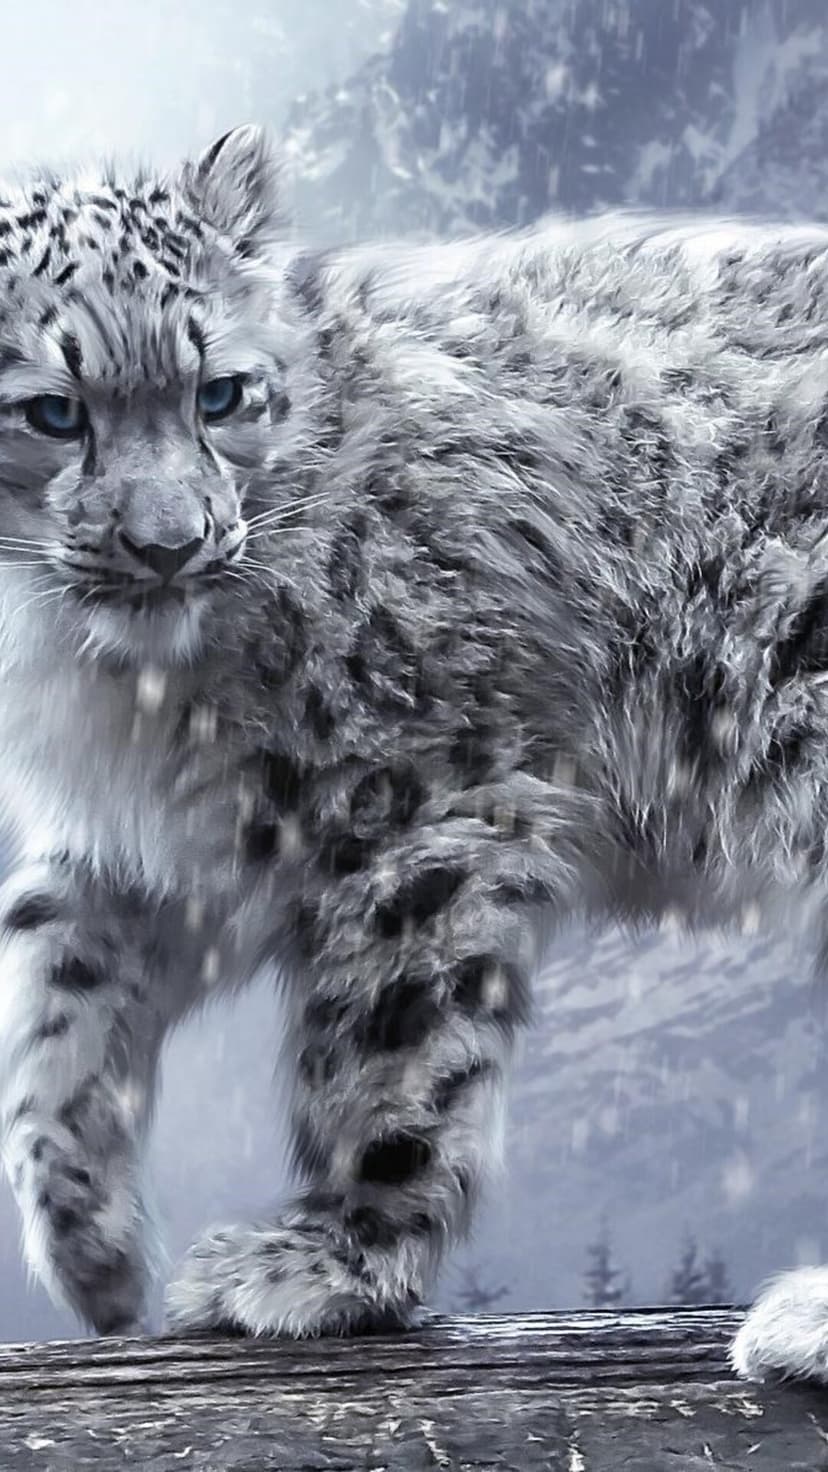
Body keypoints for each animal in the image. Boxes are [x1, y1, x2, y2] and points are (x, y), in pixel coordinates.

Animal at [0, 123, 826, 1381]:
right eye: (52, 412)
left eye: (219, 392)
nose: (170, 544)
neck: (107, 681)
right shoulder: (161, 838)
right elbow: (52, 993)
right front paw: (90, 1245)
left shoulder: (414, 797)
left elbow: (386, 1040)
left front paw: (332, 1260)